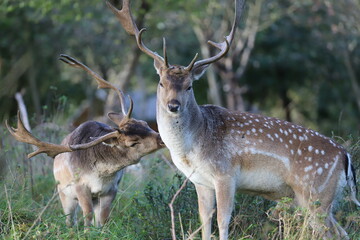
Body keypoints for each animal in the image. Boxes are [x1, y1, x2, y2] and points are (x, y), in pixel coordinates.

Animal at [5, 54, 164, 229]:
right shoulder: (80, 186)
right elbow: (86, 215)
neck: (101, 175)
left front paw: (101, 232)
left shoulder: (111, 188)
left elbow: (103, 218)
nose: (161, 139)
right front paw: (87, 232)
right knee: (70, 219)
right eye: (132, 142)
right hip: (63, 192)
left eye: (144, 123)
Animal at [107, 0, 360, 239]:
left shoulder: (225, 174)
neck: (192, 146)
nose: (173, 105)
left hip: (314, 193)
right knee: (342, 232)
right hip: (318, 198)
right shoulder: (200, 181)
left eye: (189, 86)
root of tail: (345, 156)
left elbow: (223, 220)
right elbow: (204, 221)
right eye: (161, 83)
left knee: (330, 232)